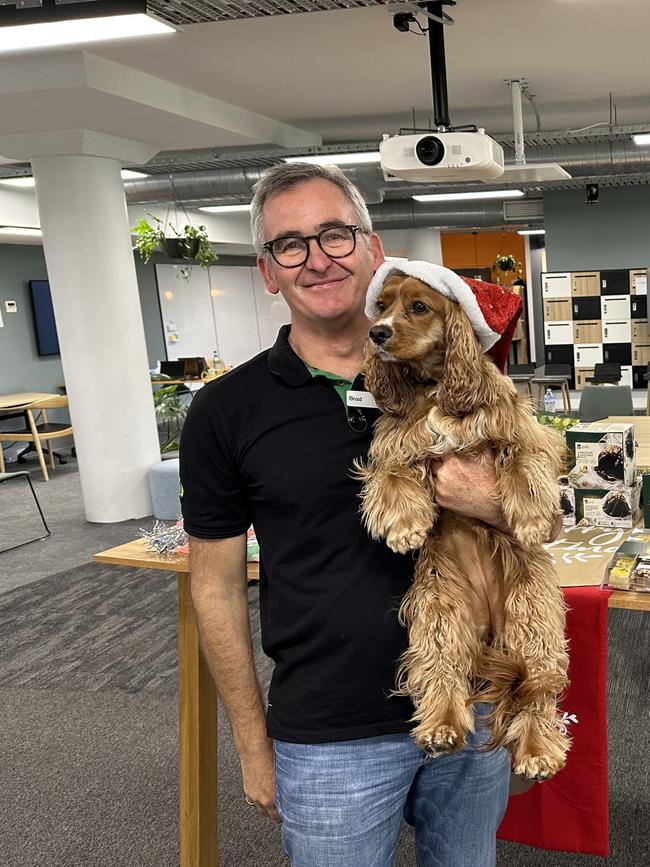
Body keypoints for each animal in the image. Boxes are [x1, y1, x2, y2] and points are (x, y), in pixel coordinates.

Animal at [356, 270, 568, 780]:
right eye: (381, 305)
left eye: (418, 306)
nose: (377, 333)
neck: (436, 385)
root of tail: (490, 629)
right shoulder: (397, 446)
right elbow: (391, 477)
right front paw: (406, 529)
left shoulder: (520, 432)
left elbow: (524, 463)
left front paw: (532, 521)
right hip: (440, 608)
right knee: (442, 668)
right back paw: (442, 726)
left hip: (531, 614)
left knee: (539, 688)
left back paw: (538, 750)